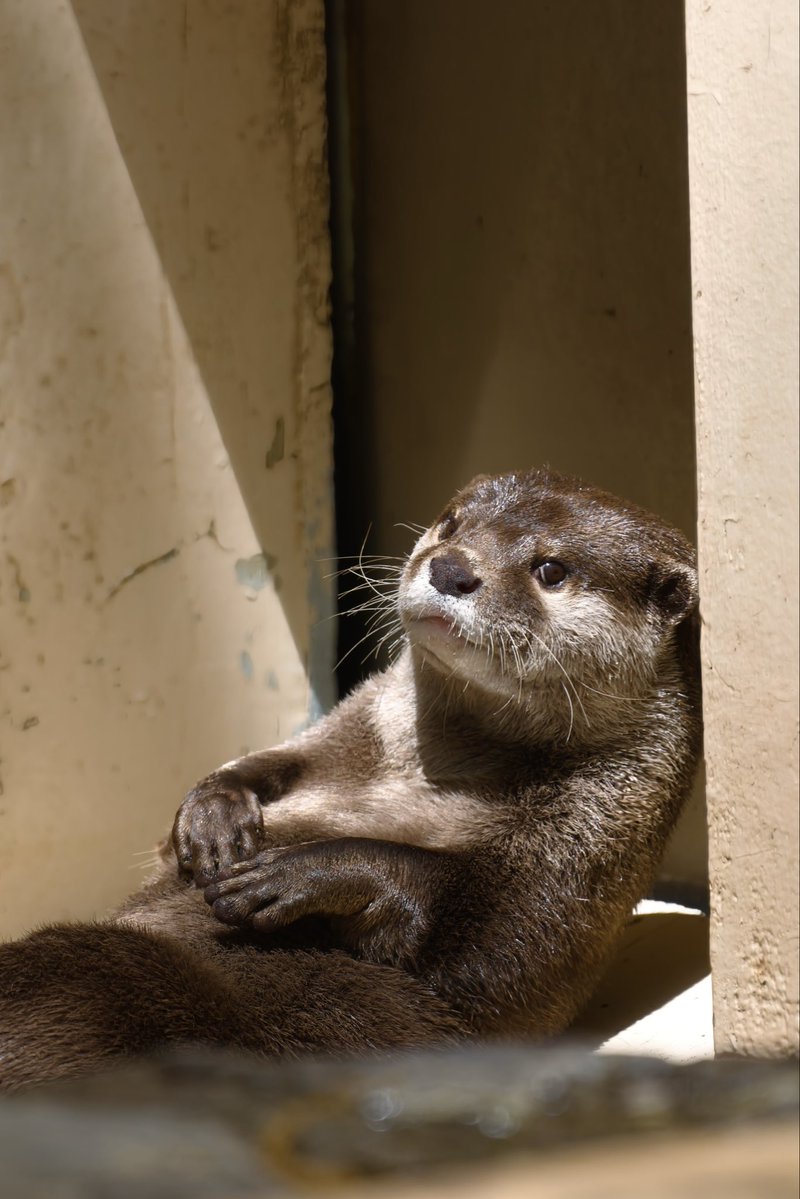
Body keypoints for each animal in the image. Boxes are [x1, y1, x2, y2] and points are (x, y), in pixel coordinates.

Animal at [0, 469, 701, 1090]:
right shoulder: (351, 726)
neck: (430, 780)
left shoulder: (591, 844)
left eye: (551, 569)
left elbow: (499, 949)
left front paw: (306, 872)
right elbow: (274, 762)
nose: (451, 567)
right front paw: (212, 812)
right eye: (452, 521)